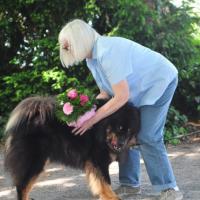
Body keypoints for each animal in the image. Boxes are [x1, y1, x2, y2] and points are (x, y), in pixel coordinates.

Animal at [3, 96, 140, 199]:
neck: (100, 127)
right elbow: (106, 181)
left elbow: (97, 182)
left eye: (129, 131)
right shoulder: (99, 161)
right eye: (119, 128)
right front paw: (112, 197)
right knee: (22, 186)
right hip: (34, 162)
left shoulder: (92, 164)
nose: (122, 143)